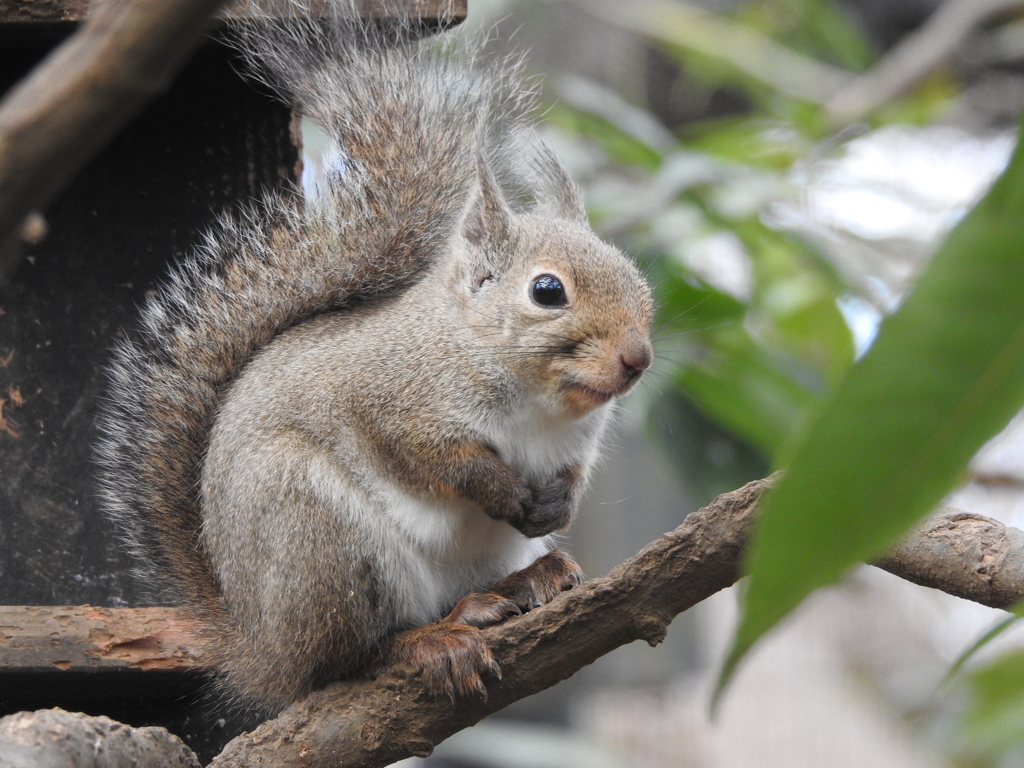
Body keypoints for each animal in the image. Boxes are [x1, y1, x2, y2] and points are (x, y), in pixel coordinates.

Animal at [97, 1, 655, 716]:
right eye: (547, 291)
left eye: (638, 279)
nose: (637, 360)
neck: (536, 399)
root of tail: (258, 647)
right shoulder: (387, 399)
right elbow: (434, 458)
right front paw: (498, 486)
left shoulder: (574, 442)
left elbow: (573, 475)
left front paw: (560, 503)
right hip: (321, 537)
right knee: (344, 660)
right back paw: (430, 640)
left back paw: (523, 581)